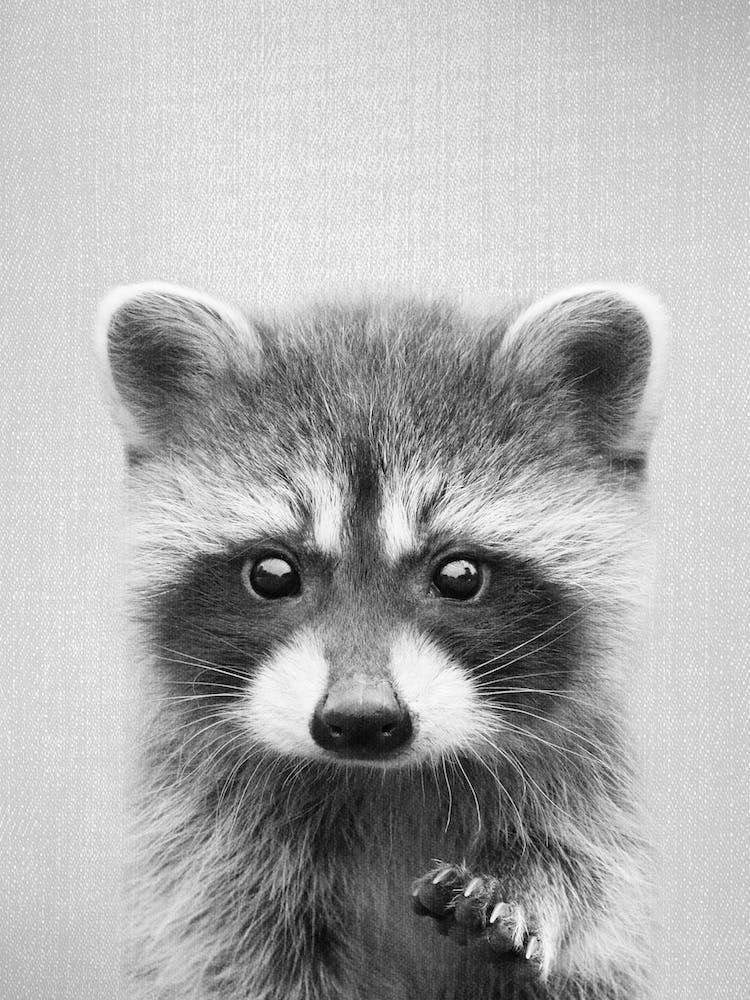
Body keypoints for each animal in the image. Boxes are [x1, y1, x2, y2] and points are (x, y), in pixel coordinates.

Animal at [95, 281, 668, 1000]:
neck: (383, 779)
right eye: (272, 573)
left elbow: (587, 883)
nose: (362, 719)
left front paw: (531, 891)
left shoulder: (585, 788)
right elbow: (233, 952)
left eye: (459, 575)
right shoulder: (207, 850)